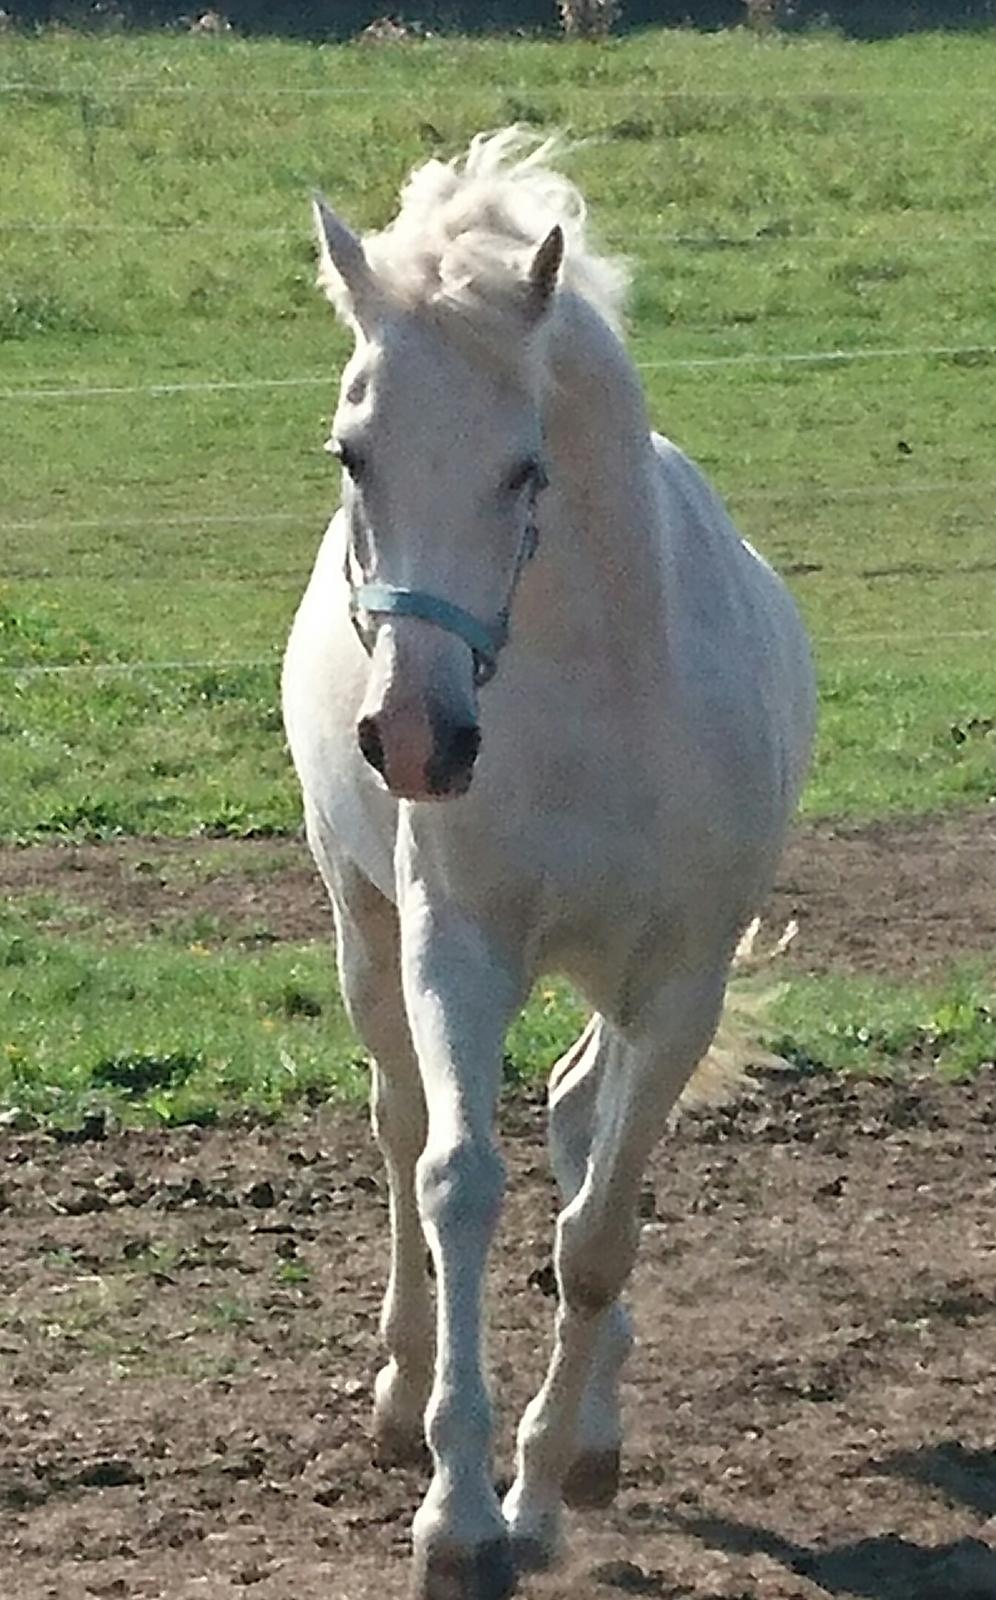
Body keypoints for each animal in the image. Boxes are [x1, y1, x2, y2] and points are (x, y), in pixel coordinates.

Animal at [283, 131, 819, 1593]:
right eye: (353, 453)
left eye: (526, 469)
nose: (415, 738)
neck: (600, 687)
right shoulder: (457, 948)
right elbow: (459, 1181)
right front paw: (460, 1513)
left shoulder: (677, 983)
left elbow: (598, 1236)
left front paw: (541, 1489)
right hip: (365, 929)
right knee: (398, 1120)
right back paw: (401, 1393)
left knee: (583, 1121)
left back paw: (592, 1431)